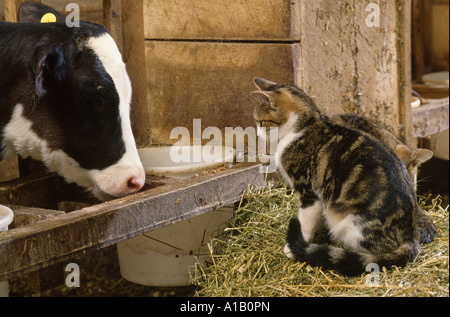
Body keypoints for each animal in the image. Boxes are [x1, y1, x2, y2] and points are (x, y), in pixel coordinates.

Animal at [251, 78, 424, 274]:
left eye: (261, 121)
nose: (257, 134)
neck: (305, 125)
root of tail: (410, 237)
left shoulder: (307, 190)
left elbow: (305, 220)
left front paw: (298, 245)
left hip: (346, 219)